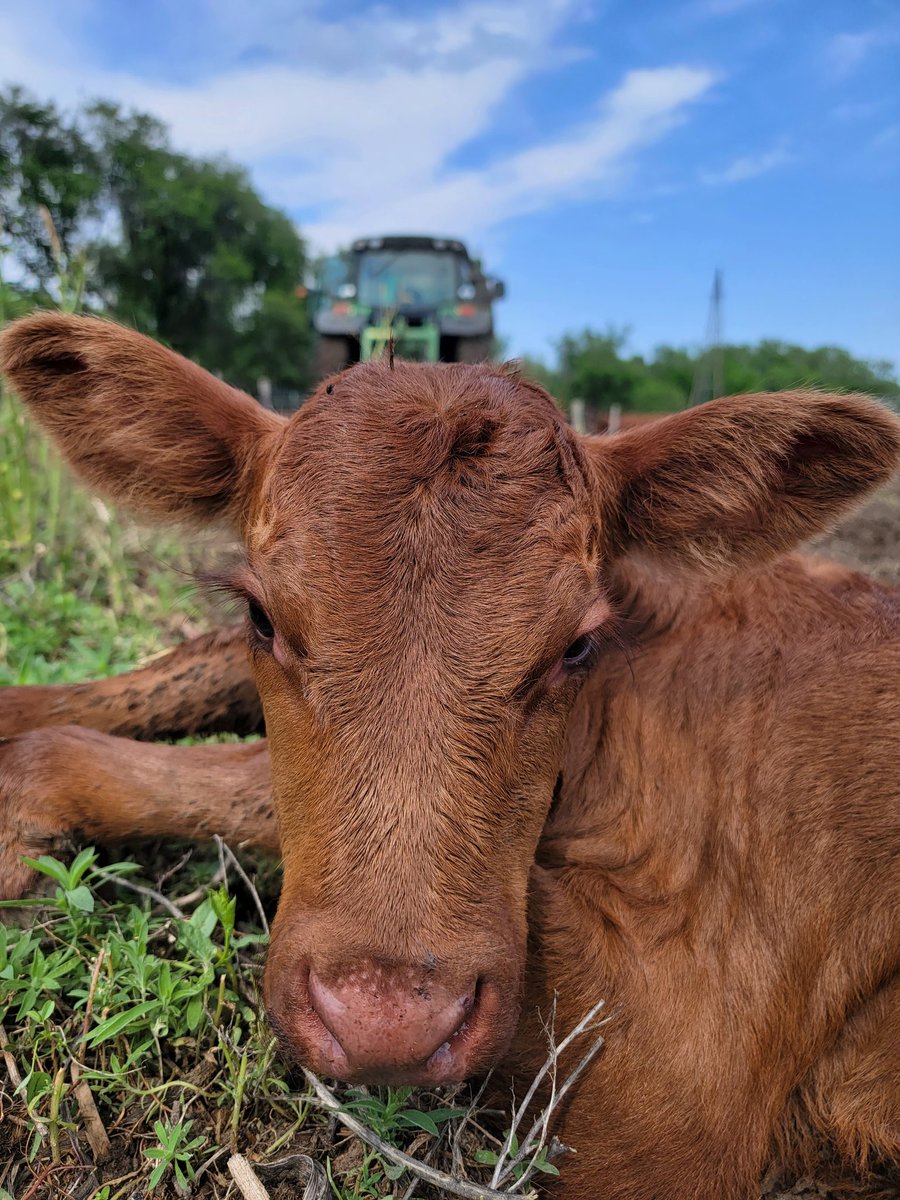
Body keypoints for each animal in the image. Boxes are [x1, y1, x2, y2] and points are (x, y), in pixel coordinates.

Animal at [1, 312, 898, 1199]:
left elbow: (234, 774)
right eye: (262, 616)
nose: (386, 1025)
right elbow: (203, 672)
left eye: (576, 646)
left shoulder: (682, 1075)